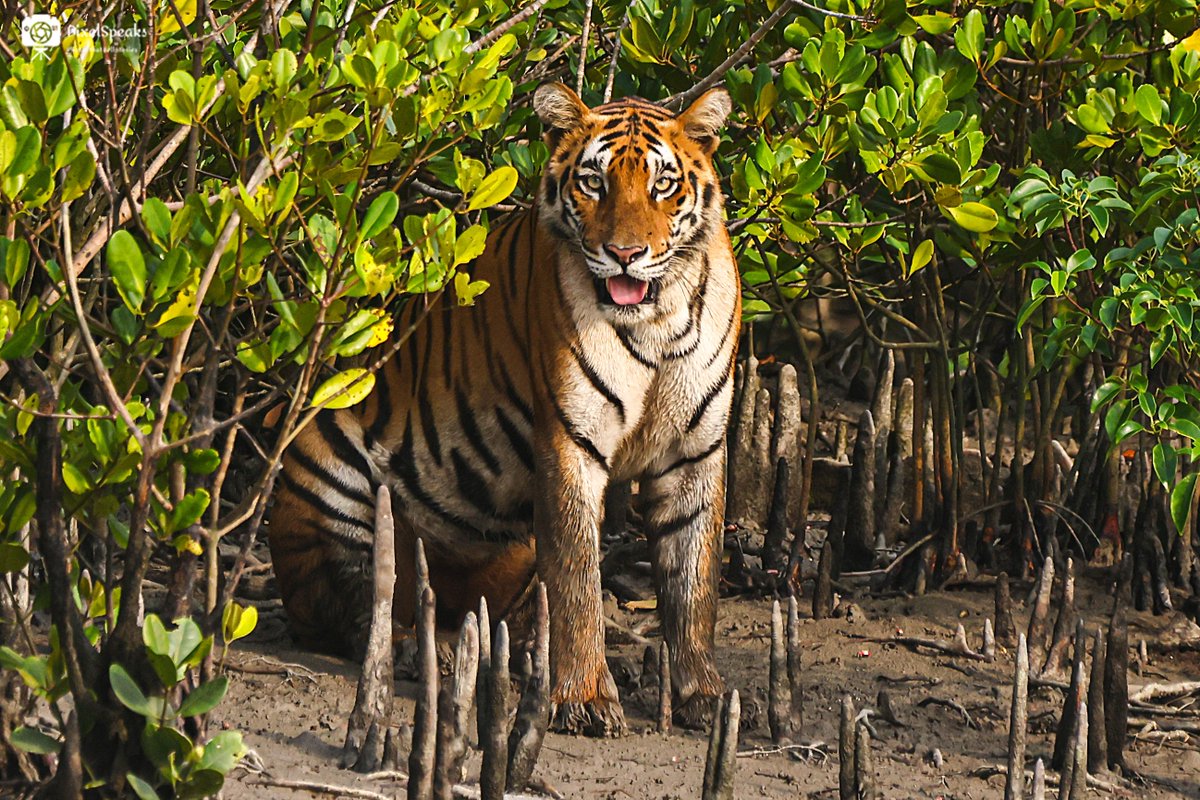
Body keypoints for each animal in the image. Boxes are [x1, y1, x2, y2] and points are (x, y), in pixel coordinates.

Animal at [267, 82, 739, 736]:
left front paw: (705, 695)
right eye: (593, 183)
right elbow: (576, 579)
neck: (657, 318)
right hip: (329, 453)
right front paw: (585, 698)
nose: (625, 254)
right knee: (353, 606)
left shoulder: (696, 451)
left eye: (663, 185)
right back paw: (422, 650)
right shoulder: (570, 443)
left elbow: (694, 584)